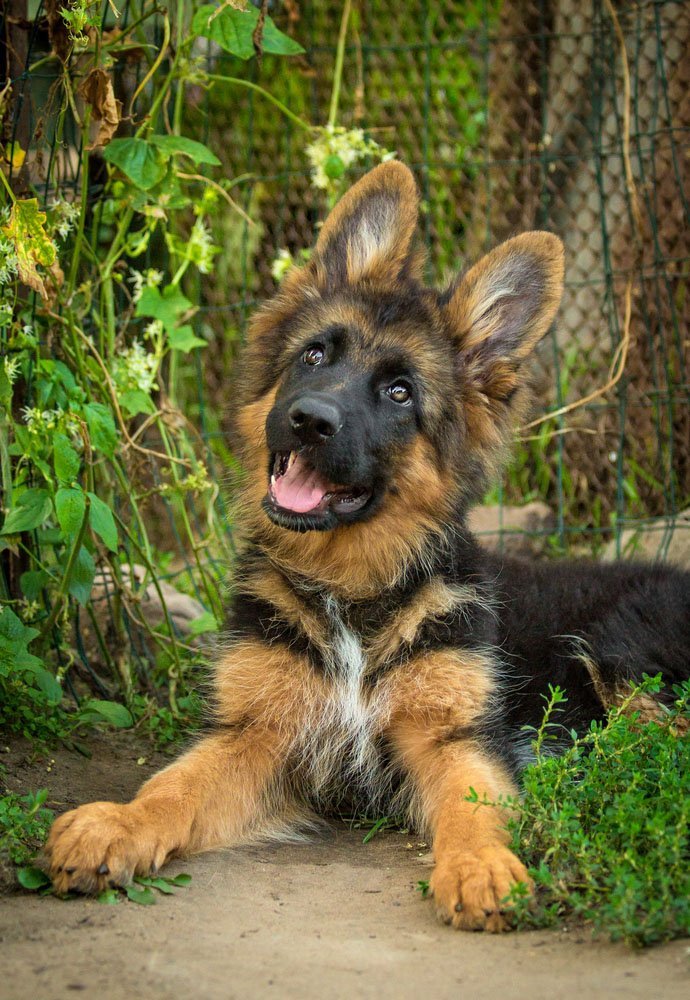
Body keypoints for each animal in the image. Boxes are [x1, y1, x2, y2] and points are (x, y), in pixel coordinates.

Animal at [47, 162, 688, 928]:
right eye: (315, 354)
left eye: (401, 393)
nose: (308, 420)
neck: (353, 590)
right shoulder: (256, 734)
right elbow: (172, 787)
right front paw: (118, 822)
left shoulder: (453, 739)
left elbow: (473, 808)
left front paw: (481, 865)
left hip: (621, 657)